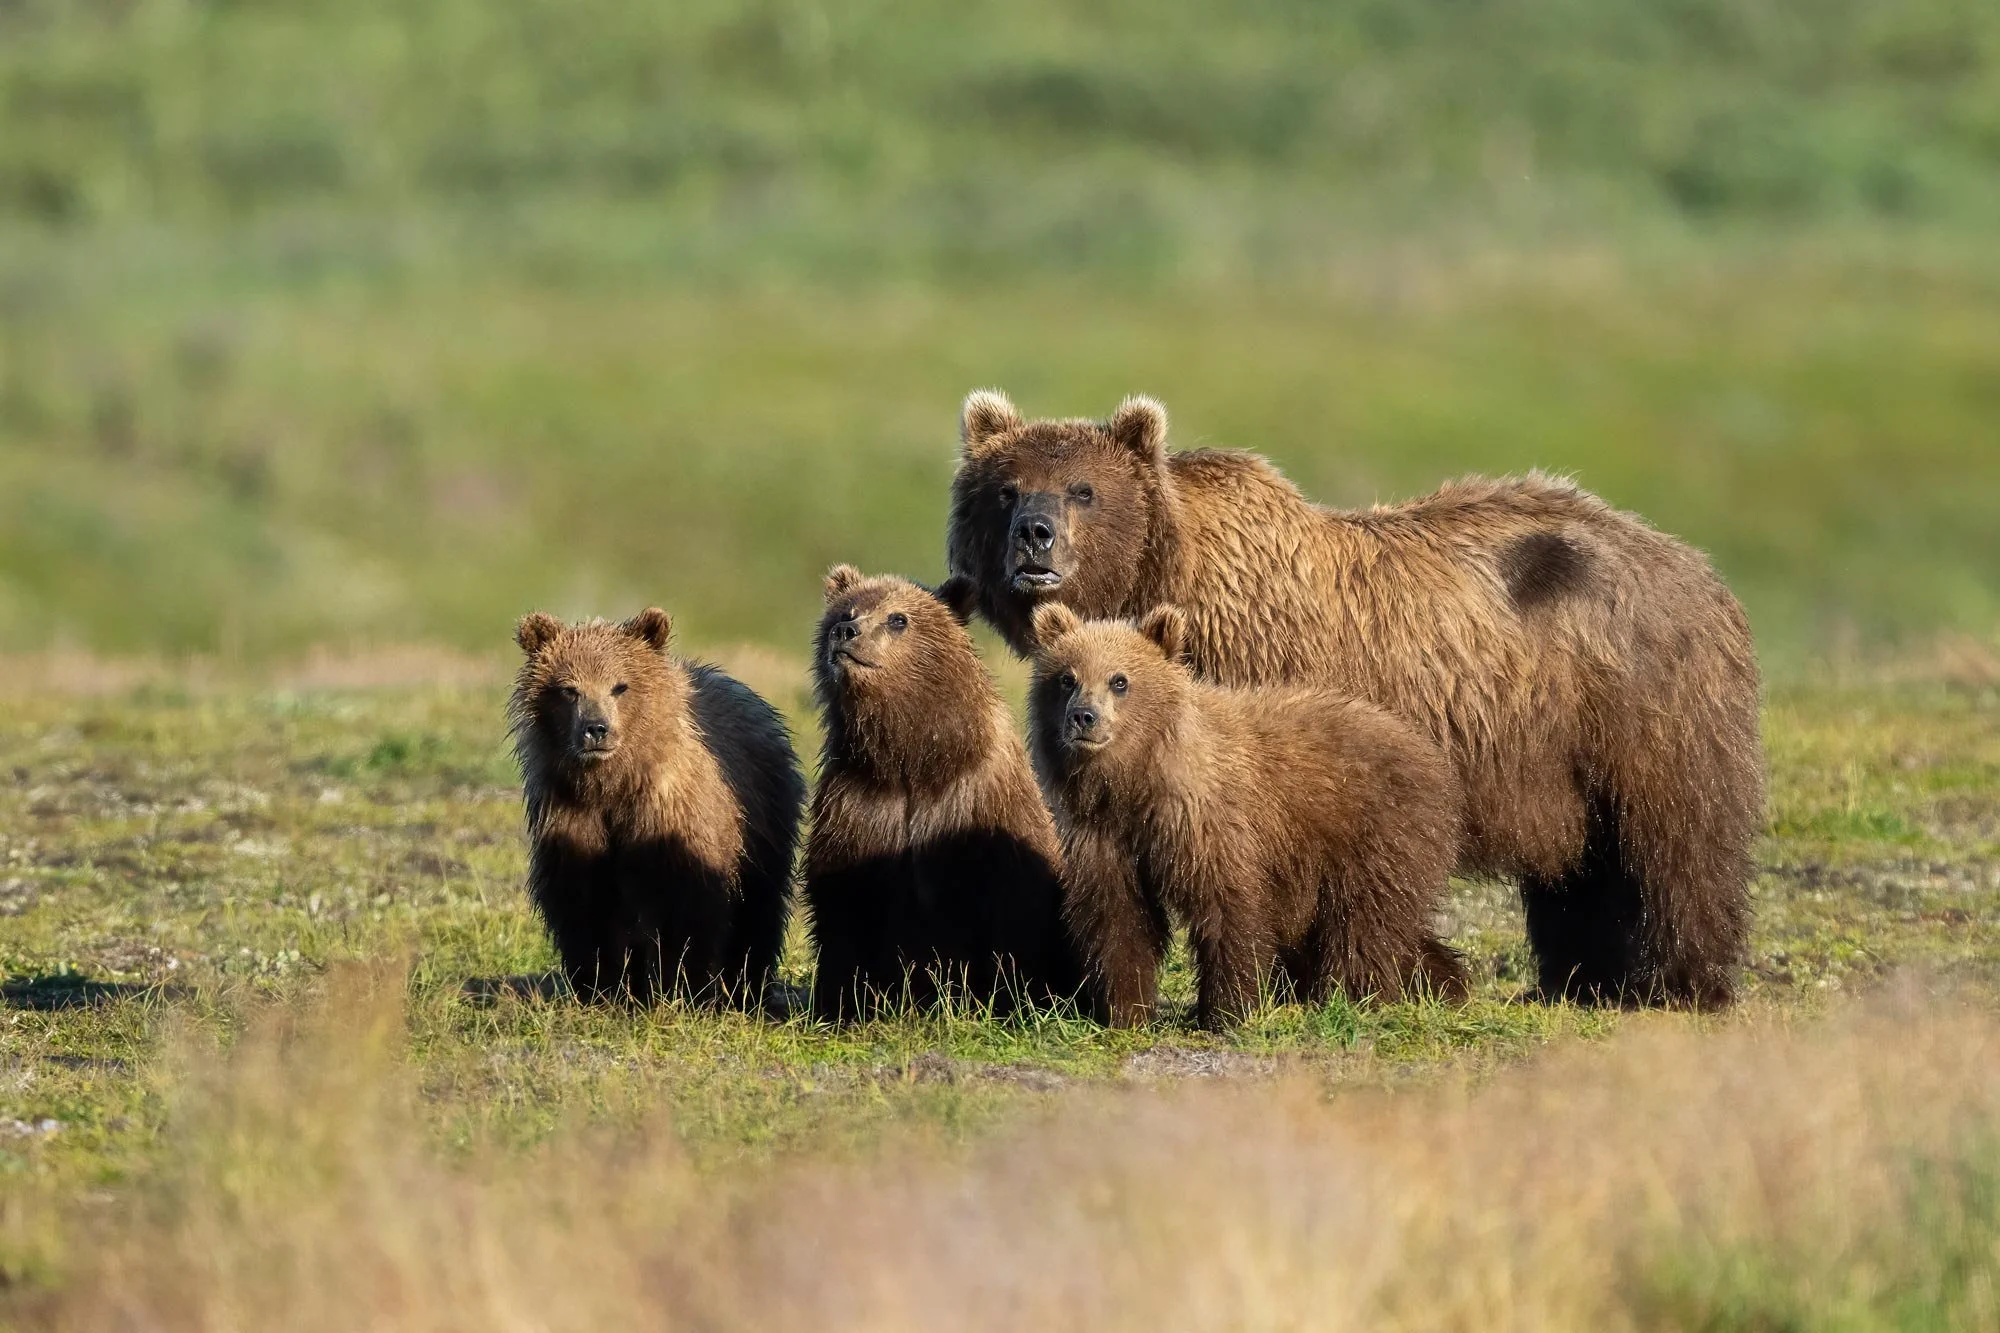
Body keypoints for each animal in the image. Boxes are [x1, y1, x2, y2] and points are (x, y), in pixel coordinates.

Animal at [510, 608, 805, 1008]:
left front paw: (685, 988)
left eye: (620, 686)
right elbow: (584, 905)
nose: (596, 729)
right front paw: (599, 988)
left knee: (758, 905)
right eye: (569, 689)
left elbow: (685, 908)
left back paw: (747, 986)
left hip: (764, 819)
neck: (613, 784)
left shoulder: (672, 817)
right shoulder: (573, 817)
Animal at [806, 565, 1084, 1022]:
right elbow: (843, 905)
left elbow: (1010, 914)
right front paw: (842, 1004)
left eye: (898, 618)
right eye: (846, 610)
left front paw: (1008, 999)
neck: (912, 763)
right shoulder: (857, 805)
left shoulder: (978, 804)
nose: (845, 632)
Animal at [1029, 601, 1468, 1029]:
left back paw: (1355, 996)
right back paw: (1440, 982)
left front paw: (1226, 1011)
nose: (1083, 716)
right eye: (1067, 678)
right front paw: (1125, 1011)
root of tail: (1428, 752)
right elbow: (1118, 916)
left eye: (1119, 680)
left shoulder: (1208, 823)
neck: (1133, 780)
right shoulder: (1104, 834)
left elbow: (1229, 909)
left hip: (1374, 829)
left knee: (1364, 920)